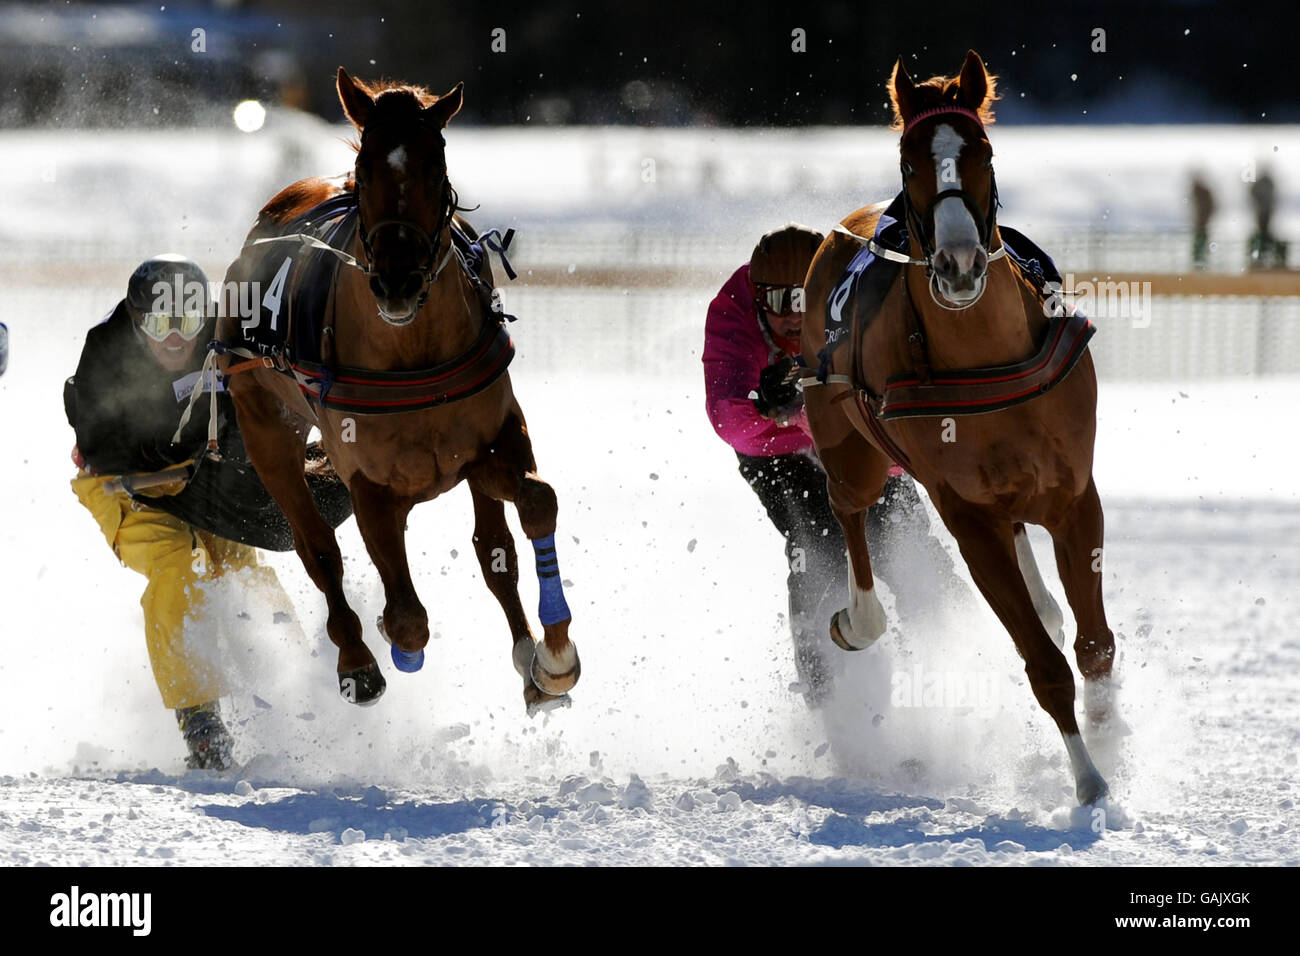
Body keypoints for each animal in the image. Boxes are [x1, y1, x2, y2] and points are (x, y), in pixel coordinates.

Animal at [217, 70, 579, 712]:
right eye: (364, 171)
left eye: (436, 167)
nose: (397, 282)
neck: (412, 352)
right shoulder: (365, 476)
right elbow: (406, 616)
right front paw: (390, 637)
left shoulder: (494, 429)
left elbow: (531, 506)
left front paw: (553, 657)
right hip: (261, 416)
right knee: (317, 548)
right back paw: (358, 658)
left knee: (494, 547)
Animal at [800, 48, 1118, 806]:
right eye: (909, 158)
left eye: (983, 151)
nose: (959, 262)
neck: (986, 355)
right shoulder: (968, 519)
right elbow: (1045, 663)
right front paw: (1089, 782)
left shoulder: (1075, 496)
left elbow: (1093, 644)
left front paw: (1113, 743)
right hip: (847, 443)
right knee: (848, 507)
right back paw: (860, 617)